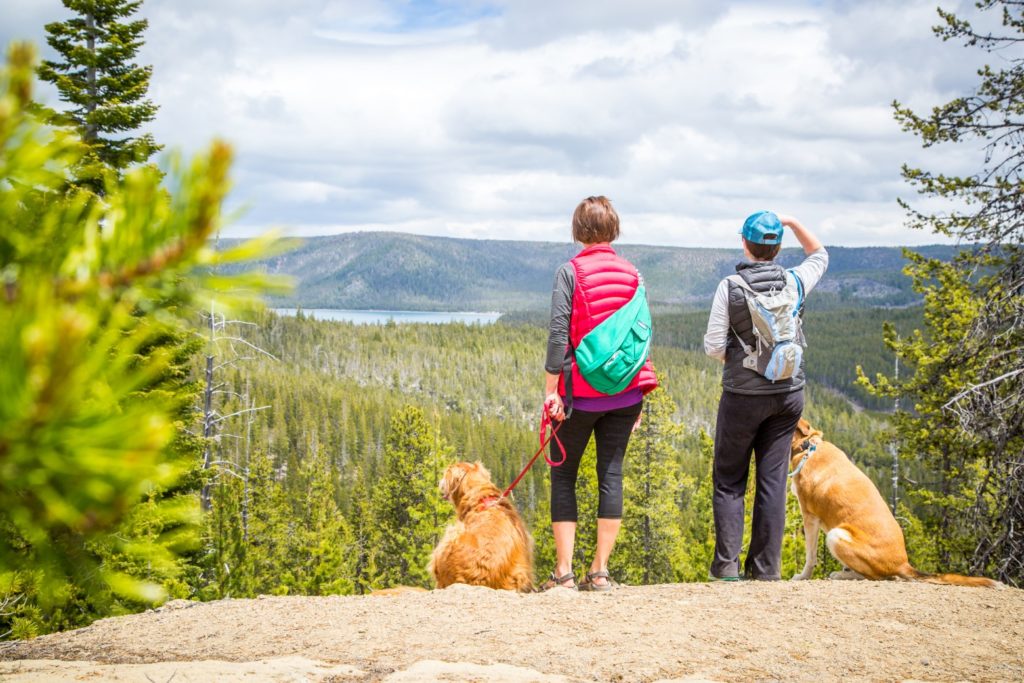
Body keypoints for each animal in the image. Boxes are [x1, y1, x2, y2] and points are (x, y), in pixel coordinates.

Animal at [790, 417, 999, 589]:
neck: (806, 446)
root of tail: (903, 564)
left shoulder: (809, 517)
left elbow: (810, 556)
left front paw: (803, 576)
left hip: (836, 535)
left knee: (874, 577)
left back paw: (841, 575)